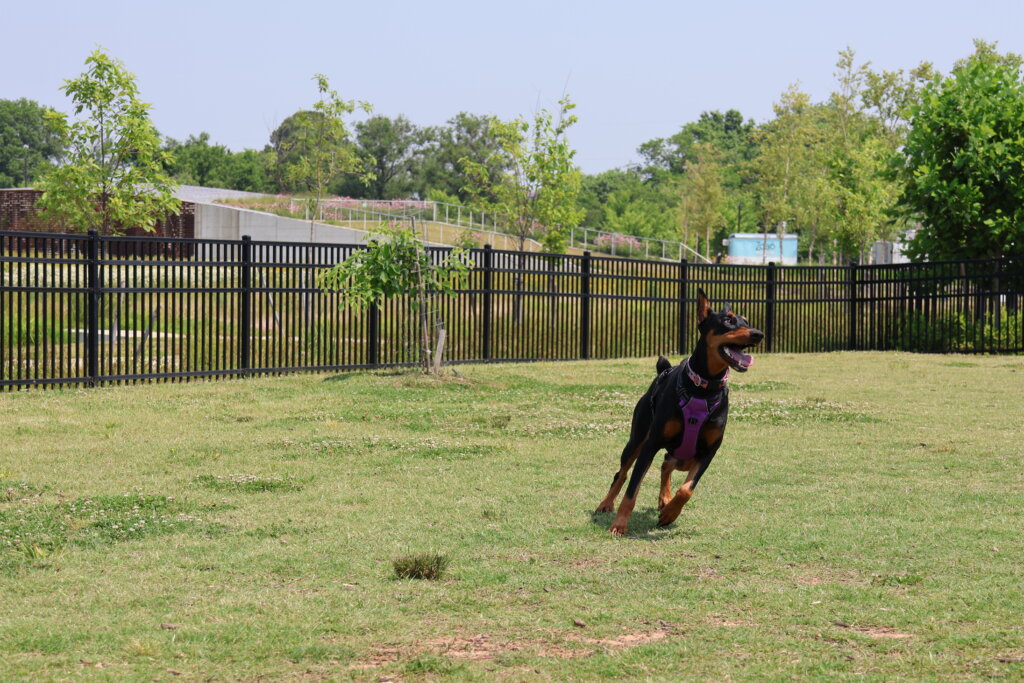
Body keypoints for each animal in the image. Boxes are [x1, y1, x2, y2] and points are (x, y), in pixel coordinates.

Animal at [598, 288, 761, 532]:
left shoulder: (710, 450)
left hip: (686, 456)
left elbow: (687, 489)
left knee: (667, 463)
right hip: (637, 439)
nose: (758, 334)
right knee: (622, 473)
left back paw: (665, 500)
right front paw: (619, 525)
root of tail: (662, 371)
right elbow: (632, 490)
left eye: (747, 321)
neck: (703, 388)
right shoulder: (651, 444)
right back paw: (606, 504)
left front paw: (669, 513)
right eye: (728, 320)